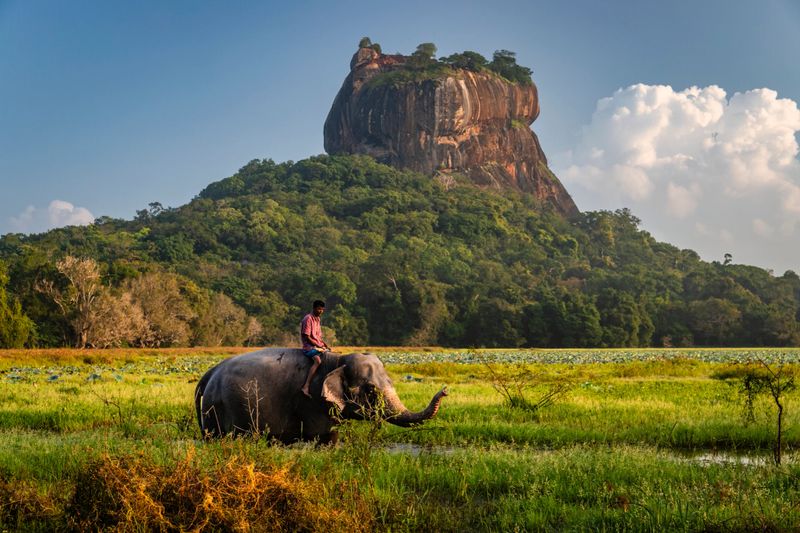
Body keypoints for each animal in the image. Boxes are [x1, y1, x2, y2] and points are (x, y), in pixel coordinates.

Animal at [194, 348, 448, 443]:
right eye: (371, 390)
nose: (445, 390)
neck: (337, 359)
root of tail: (209, 373)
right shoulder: (312, 403)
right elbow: (323, 434)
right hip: (216, 408)